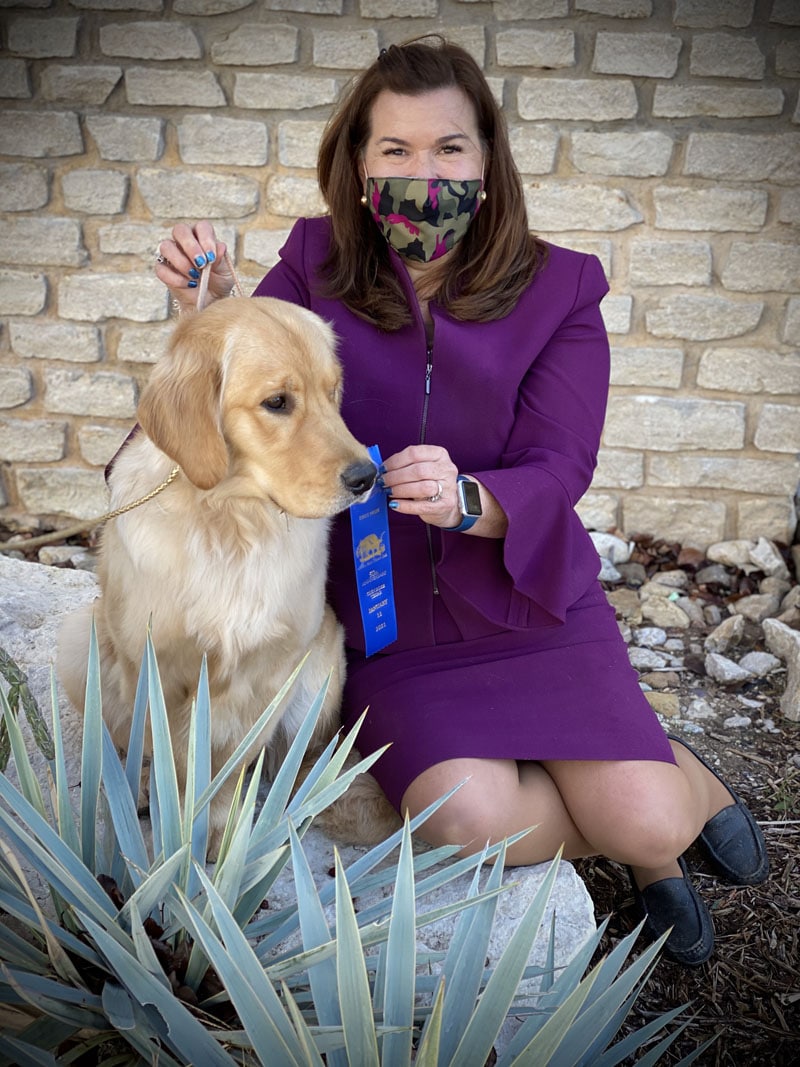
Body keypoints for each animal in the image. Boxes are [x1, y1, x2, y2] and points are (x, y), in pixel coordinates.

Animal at [57, 296, 401, 853]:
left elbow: (226, 777)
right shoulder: (155, 670)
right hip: (77, 641)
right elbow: (172, 768)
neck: (231, 521)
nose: (367, 478)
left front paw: (214, 849)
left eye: (333, 393)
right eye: (278, 402)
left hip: (323, 669)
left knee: (294, 765)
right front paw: (171, 850)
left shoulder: (266, 677)